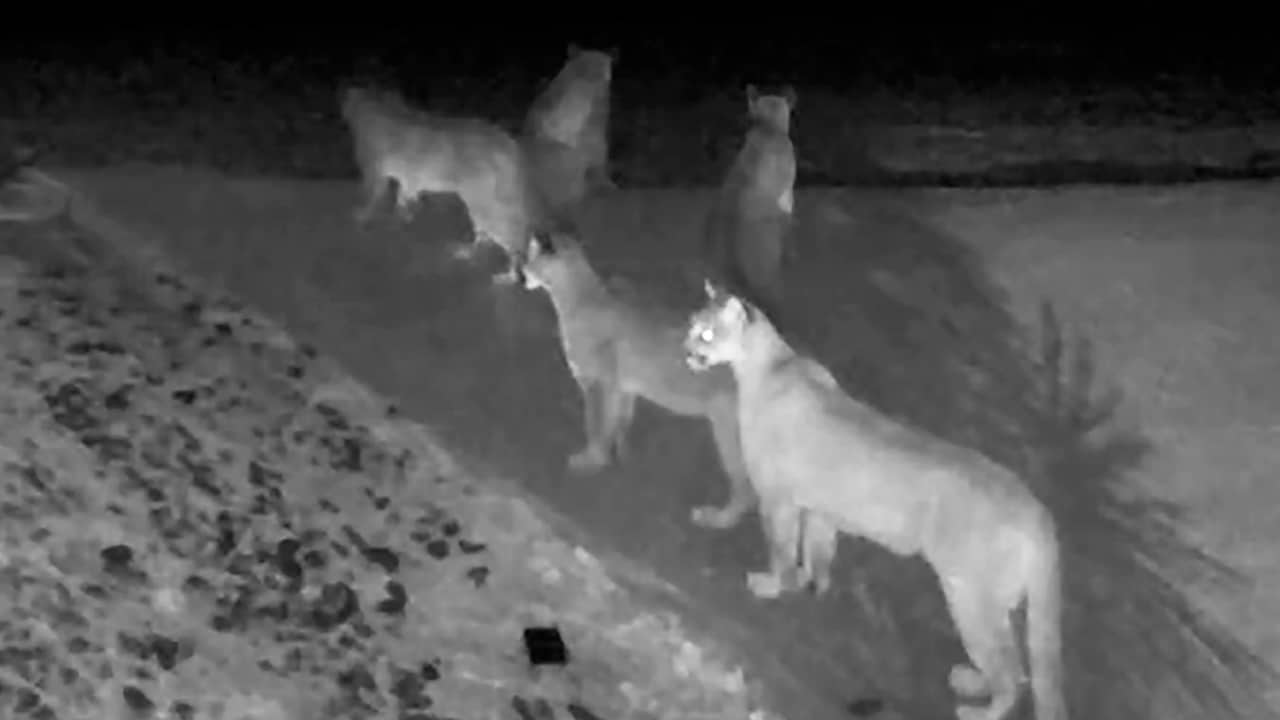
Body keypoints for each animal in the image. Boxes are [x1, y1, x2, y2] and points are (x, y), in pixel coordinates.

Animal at [339, 84, 542, 284]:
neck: (374, 108)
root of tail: (506, 140)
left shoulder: (374, 176)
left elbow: (371, 198)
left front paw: (363, 215)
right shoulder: (405, 182)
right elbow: (404, 201)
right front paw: (403, 217)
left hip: (484, 204)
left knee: (512, 236)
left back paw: (508, 274)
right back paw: (469, 251)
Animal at [520, 229, 756, 530]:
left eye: (531, 258)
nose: (521, 273)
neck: (577, 295)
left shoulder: (598, 384)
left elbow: (595, 424)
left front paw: (591, 460)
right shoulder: (622, 387)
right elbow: (619, 421)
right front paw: (619, 453)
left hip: (728, 430)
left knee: (745, 488)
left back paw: (717, 518)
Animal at [683, 282, 1067, 720]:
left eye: (706, 333)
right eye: (691, 324)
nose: (685, 348)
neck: (770, 366)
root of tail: (1038, 510)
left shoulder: (778, 497)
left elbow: (779, 546)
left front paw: (771, 584)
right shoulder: (818, 509)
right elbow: (817, 552)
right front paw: (809, 584)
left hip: (970, 596)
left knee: (1012, 672)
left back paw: (978, 709)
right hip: (991, 602)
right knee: (1013, 667)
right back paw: (970, 681)